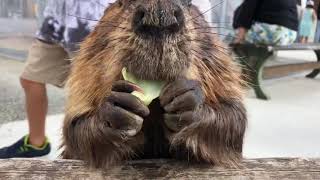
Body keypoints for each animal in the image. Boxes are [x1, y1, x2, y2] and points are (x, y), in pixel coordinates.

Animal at [62, 0, 248, 169]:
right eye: (121, 3)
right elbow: (75, 129)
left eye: (189, 3)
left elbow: (234, 117)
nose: (160, 15)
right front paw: (119, 108)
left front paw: (186, 100)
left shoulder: (222, 68)